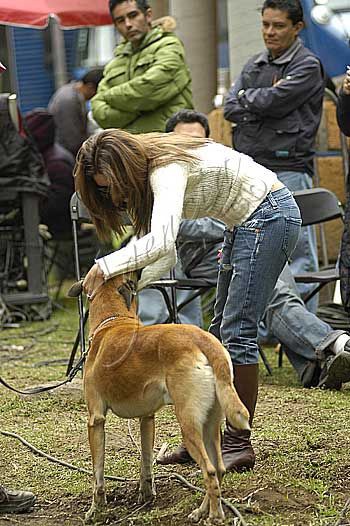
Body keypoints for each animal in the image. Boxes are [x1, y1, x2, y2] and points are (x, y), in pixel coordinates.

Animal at [69, 274, 249, 524]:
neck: (112, 321)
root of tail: (203, 339)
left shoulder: (95, 421)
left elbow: (98, 475)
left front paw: (96, 510)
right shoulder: (147, 419)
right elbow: (146, 463)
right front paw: (146, 496)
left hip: (189, 426)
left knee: (210, 471)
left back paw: (214, 516)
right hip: (210, 425)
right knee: (219, 469)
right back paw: (202, 511)